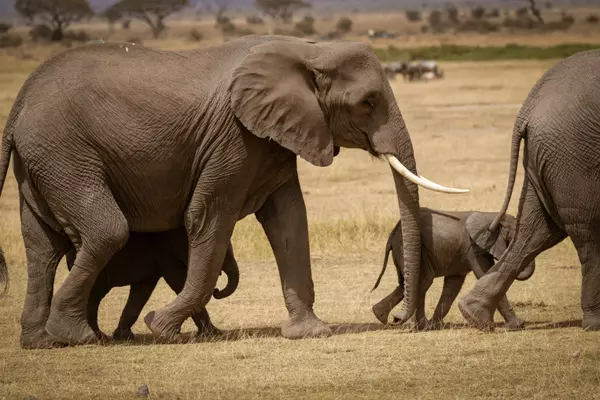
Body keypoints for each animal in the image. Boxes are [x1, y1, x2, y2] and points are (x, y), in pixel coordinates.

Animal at [67, 228, 240, 340]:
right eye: (224, 252)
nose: (216, 290)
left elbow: (143, 290)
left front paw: (124, 337)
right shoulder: (164, 252)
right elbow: (177, 280)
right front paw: (214, 334)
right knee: (94, 295)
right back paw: (98, 336)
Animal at [370, 208, 536, 330]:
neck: (491, 215)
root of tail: (393, 232)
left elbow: (453, 286)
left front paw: (437, 325)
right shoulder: (473, 248)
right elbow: (484, 275)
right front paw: (519, 325)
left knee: (409, 283)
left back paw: (381, 315)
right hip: (408, 249)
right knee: (423, 281)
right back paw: (419, 326)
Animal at [460, 50, 600, 332]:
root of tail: (529, 107)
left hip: (550, 155)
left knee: (537, 231)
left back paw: (474, 315)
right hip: (573, 155)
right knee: (587, 234)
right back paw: (594, 324)